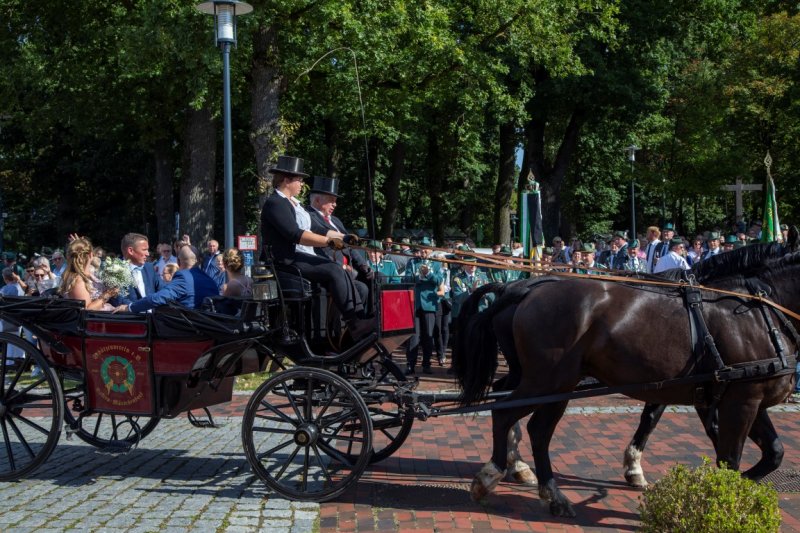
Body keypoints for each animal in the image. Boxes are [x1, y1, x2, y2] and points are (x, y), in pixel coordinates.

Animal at [454, 232, 796, 516]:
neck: (756, 313)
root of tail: (520, 290)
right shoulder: (738, 400)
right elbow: (727, 454)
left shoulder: (733, 397)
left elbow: (773, 452)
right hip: (548, 380)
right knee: (511, 416)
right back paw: (497, 477)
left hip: (547, 379)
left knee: (525, 419)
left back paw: (533, 479)